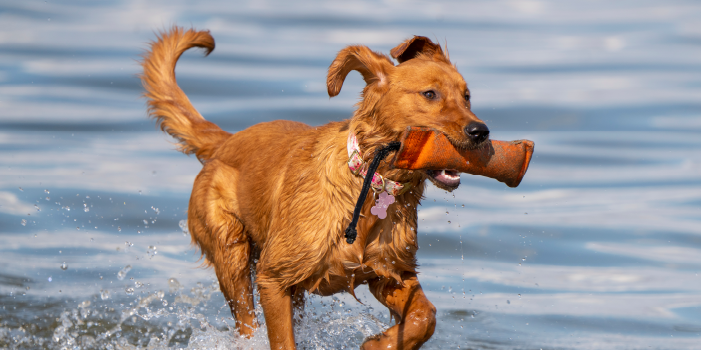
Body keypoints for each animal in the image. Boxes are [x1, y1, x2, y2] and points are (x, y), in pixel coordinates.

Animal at [141, 28, 486, 350]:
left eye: (467, 96)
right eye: (430, 93)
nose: (481, 131)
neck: (370, 184)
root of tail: (225, 140)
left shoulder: (388, 271)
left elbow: (425, 316)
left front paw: (380, 343)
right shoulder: (273, 277)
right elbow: (283, 341)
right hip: (231, 251)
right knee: (246, 322)